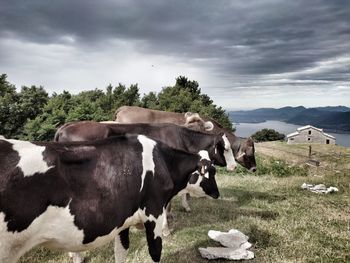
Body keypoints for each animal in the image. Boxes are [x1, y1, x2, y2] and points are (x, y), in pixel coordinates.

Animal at [0, 136, 219, 263]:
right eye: (213, 171)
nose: (218, 193)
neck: (164, 161)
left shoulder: (123, 221)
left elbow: (121, 251)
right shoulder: (153, 213)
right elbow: (155, 252)